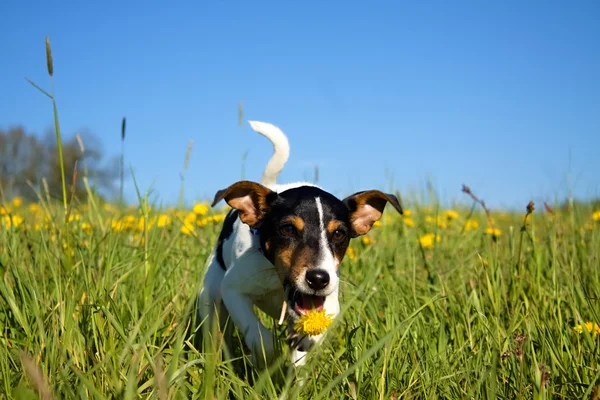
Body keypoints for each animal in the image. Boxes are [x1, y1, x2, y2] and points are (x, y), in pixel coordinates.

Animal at [197, 121, 404, 368]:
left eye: (339, 233)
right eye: (287, 229)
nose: (318, 279)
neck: (278, 283)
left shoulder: (330, 299)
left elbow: (315, 330)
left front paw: (303, 343)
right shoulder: (233, 289)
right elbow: (260, 336)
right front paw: (267, 356)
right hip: (210, 296)